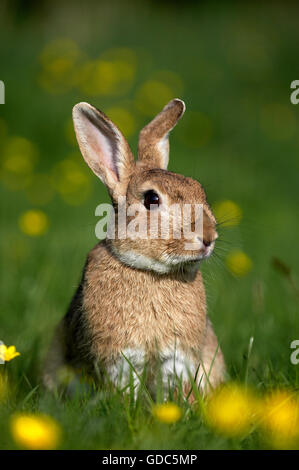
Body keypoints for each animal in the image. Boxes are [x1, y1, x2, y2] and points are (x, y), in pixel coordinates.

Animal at [43, 97, 226, 398]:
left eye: (199, 189)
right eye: (151, 199)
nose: (209, 237)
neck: (152, 273)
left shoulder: (177, 358)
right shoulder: (122, 357)